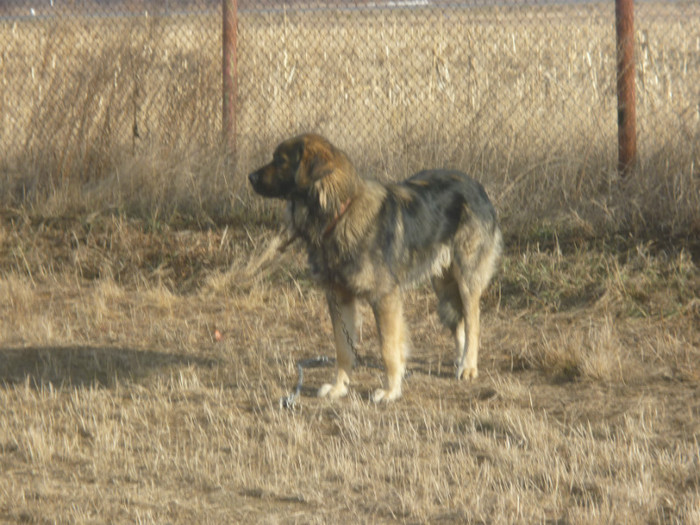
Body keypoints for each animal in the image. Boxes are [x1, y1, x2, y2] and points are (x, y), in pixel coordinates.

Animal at [249, 133, 500, 400]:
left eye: (280, 160)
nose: (250, 177)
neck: (338, 213)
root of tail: (477, 187)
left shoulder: (384, 298)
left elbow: (388, 348)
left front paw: (391, 390)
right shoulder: (339, 298)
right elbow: (343, 348)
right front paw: (339, 387)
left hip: (466, 280)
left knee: (473, 322)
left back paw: (468, 366)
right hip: (443, 284)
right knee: (461, 321)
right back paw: (461, 360)